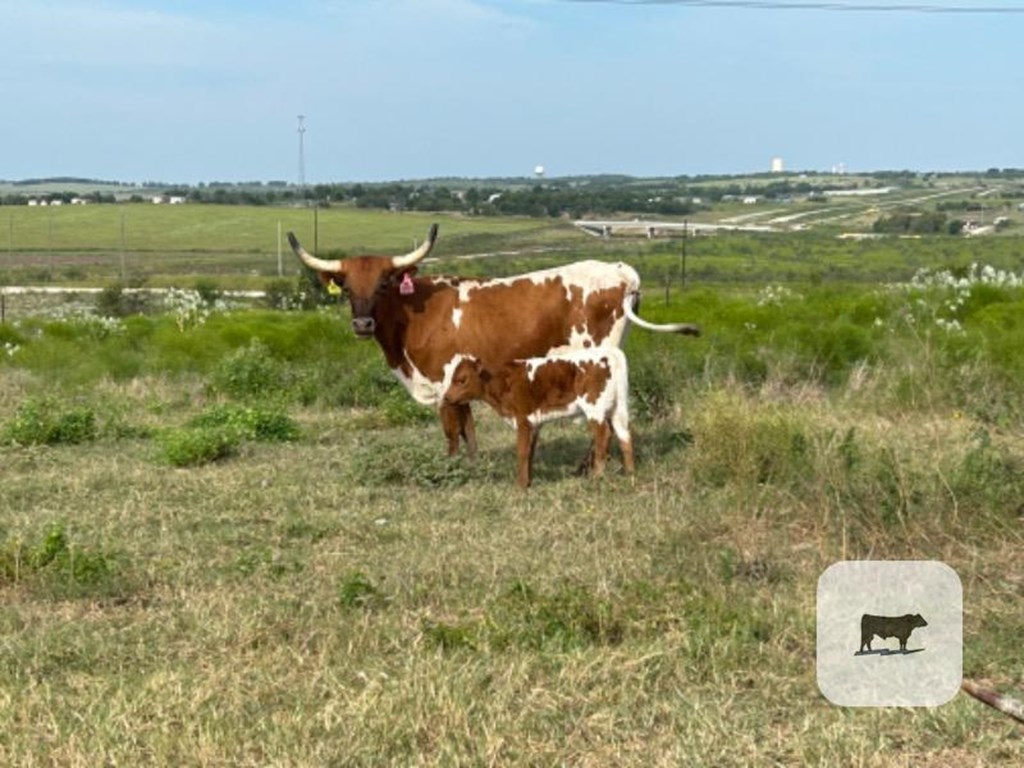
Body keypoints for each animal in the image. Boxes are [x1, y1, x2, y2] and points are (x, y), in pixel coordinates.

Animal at [292, 225, 700, 460]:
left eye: (383, 284)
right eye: (346, 288)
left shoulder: (442, 380)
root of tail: (619, 270)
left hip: (593, 360)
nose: (362, 323)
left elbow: (451, 427)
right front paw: (472, 463)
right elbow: (468, 425)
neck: (411, 312)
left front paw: (453, 466)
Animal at [444, 348, 634, 487]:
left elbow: (522, 452)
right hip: (616, 408)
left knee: (603, 434)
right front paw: (528, 483)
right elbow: (530, 452)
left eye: (462, 379)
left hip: (595, 408)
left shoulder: (523, 419)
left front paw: (519, 487)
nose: (446, 397)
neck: (504, 381)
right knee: (624, 435)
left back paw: (596, 478)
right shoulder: (534, 424)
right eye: (450, 377)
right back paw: (630, 476)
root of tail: (611, 352)